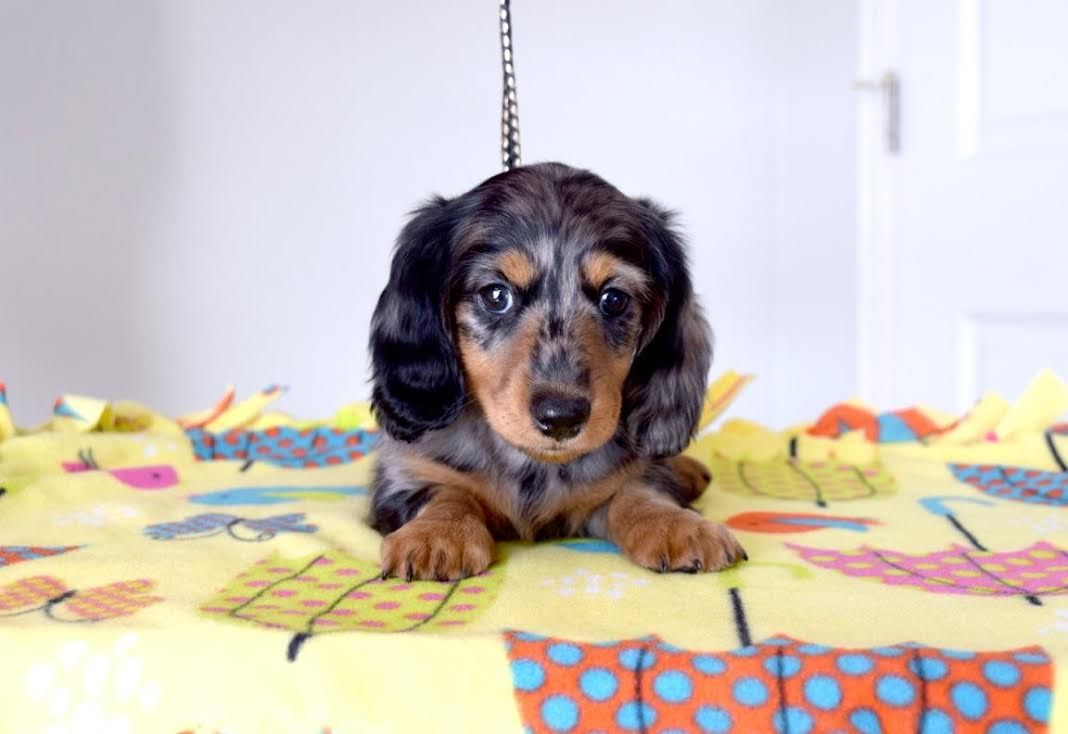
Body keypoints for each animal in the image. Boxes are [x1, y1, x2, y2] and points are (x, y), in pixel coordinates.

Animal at [368, 162, 745, 581]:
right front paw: (437, 534)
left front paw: (676, 525)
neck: (532, 463)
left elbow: (639, 490)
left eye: (614, 299)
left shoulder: (626, 478)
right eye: (496, 295)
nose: (562, 418)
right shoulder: (405, 472)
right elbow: (444, 490)